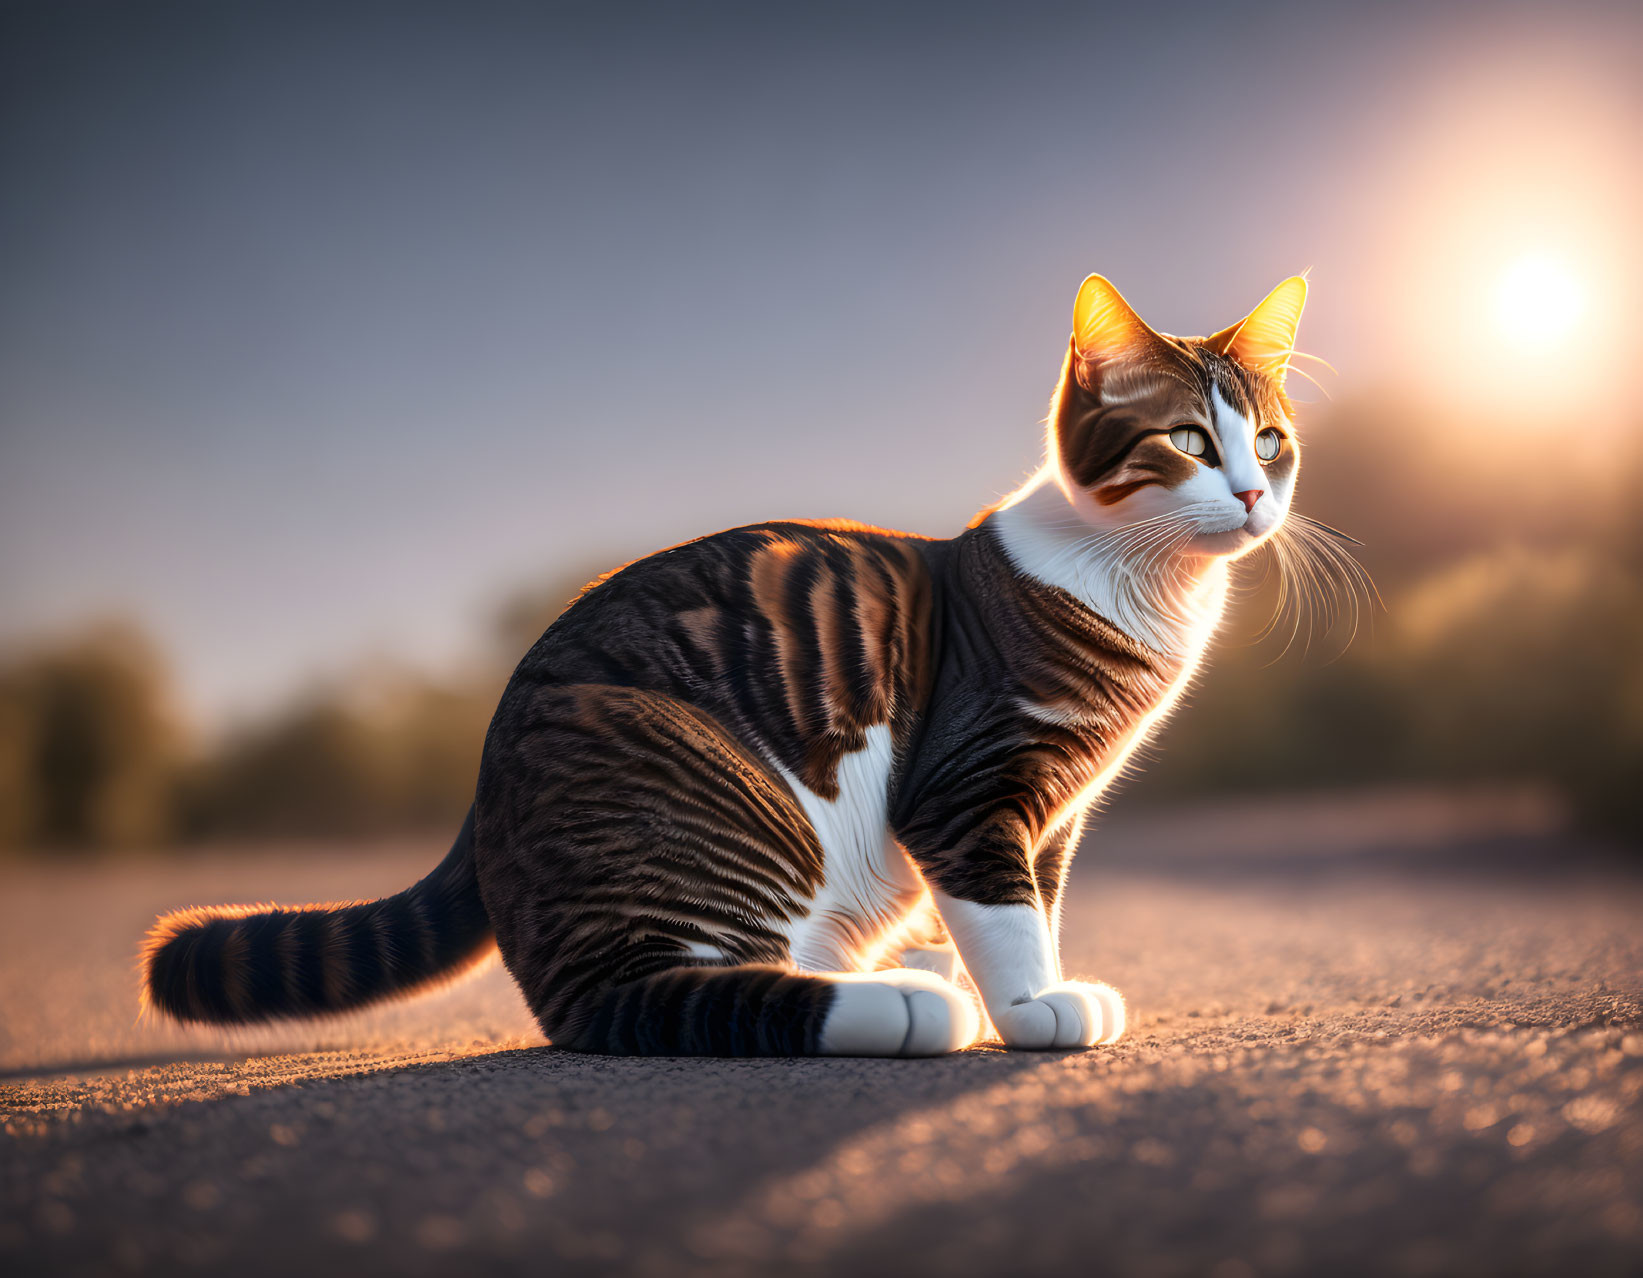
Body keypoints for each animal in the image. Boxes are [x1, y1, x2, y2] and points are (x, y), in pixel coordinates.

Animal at [138, 275, 1307, 1057]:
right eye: (1188, 442)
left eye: (1270, 441)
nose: (1254, 494)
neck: (1144, 592)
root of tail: (483, 783)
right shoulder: (969, 783)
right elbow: (1003, 908)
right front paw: (1027, 1009)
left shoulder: (1058, 808)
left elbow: (1038, 901)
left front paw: (1029, 981)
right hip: (702, 787)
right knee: (632, 1001)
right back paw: (906, 1004)